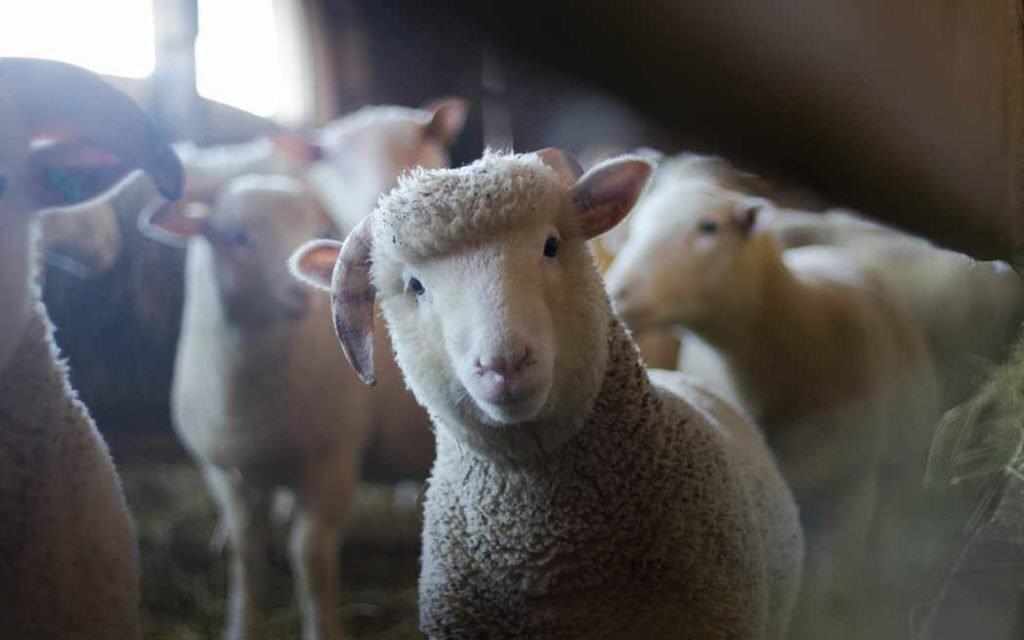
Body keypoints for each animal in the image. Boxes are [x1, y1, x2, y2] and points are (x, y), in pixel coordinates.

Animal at [138, 100, 467, 640]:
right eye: (236, 237)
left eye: (314, 229)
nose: (299, 295)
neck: (248, 395)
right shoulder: (224, 474)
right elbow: (247, 555)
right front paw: (240, 625)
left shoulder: (332, 461)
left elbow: (309, 556)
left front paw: (322, 627)